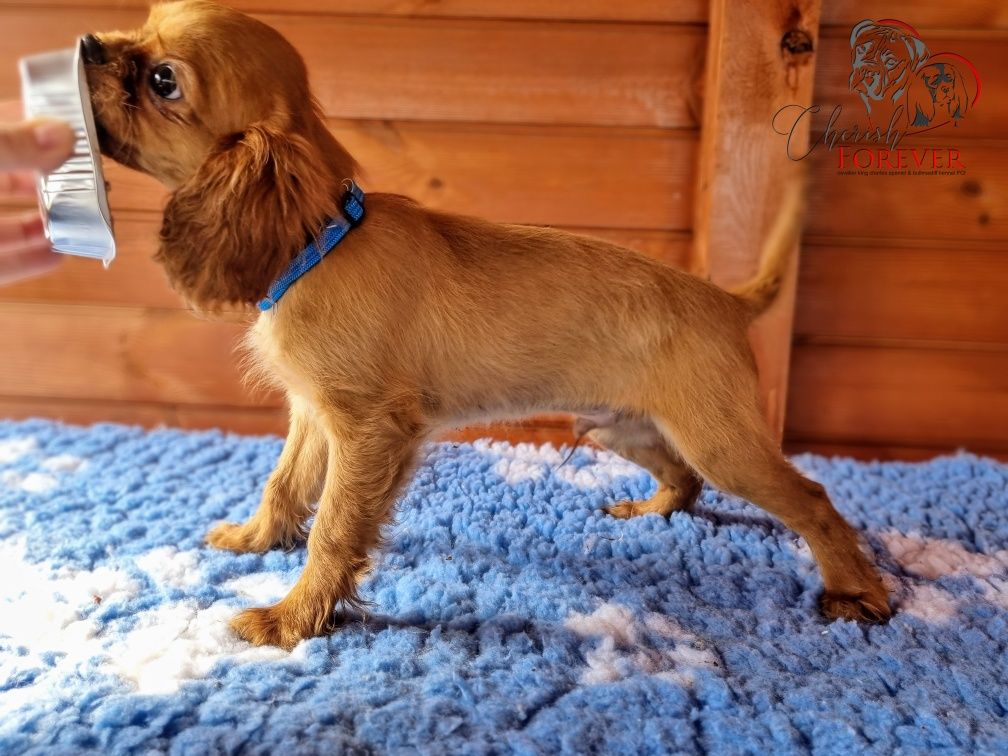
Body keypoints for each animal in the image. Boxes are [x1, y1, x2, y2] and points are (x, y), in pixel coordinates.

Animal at [84, 0, 891, 653]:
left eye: (163, 80)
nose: (87, 42)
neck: (326, 241)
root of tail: (724, 298)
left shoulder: (368, 430)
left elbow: (334, 528)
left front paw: (292, 621)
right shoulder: (315, 413)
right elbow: (283, 485)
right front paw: (254, 540)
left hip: (720, 441)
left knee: (811, 499)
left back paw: (857, 592)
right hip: (620, 425)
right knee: (685, 479)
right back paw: (650, 510)